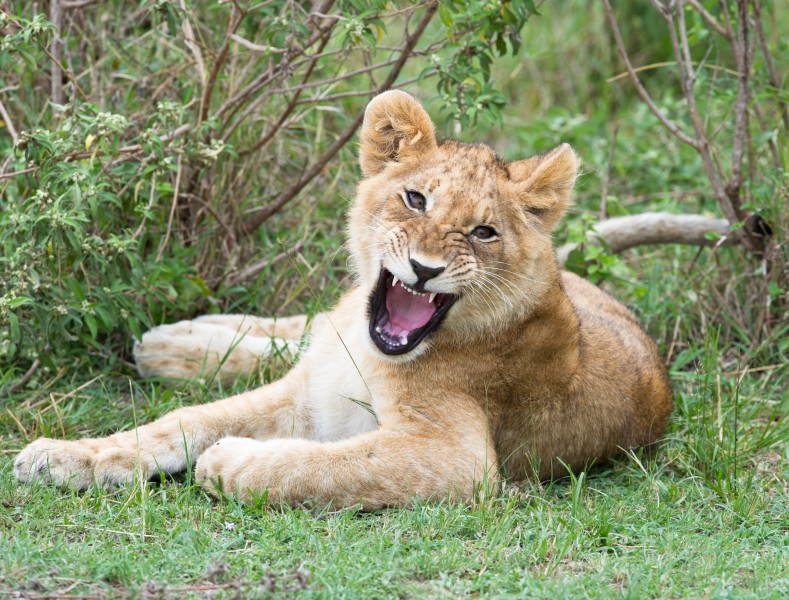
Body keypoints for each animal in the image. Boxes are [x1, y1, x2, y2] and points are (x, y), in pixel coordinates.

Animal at [10, 91, 672, 508]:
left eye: (484, 232)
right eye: (415, 199)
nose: (424, 270)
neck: (371, 350)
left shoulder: (459, 457)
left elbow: (324, 465)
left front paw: (229, 463)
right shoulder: (307, 391)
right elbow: (183, 420)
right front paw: (63, 457)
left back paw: (172, 345)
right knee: (300, 328)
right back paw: (175, 339)